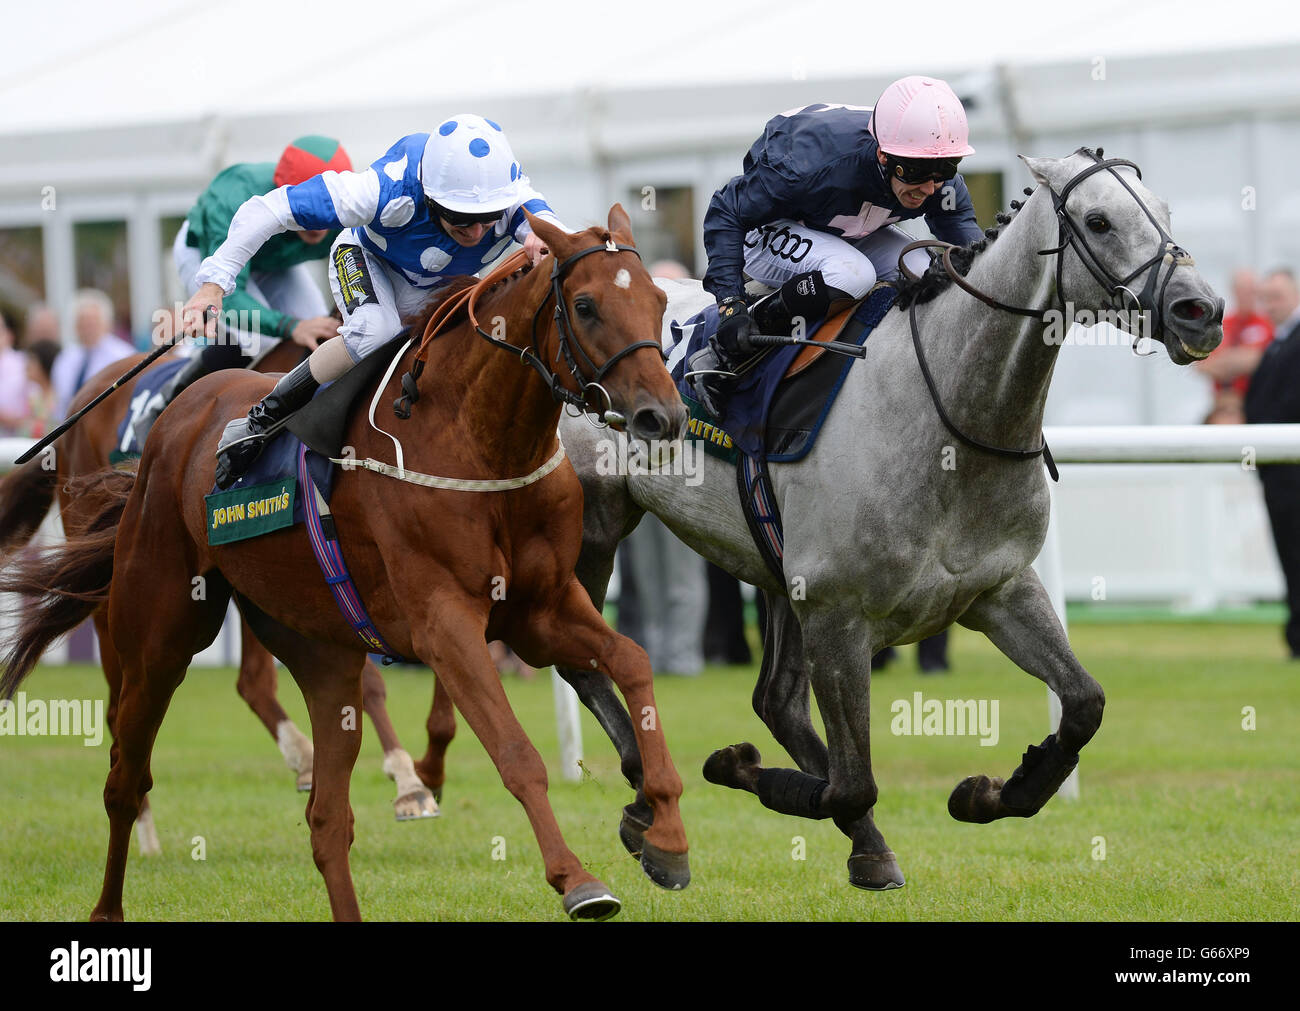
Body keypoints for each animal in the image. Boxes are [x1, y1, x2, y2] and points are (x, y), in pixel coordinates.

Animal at [0, 337, 439, 852]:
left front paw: (419, 776)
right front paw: (408, 784)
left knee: (245, 682)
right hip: (121, 590)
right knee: (122, 707)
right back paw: (145, 830)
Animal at [551, 145, 1227, 888]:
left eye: (1162, 210)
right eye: (1099, 221)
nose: (1201, 309)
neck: (950, 419)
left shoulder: (998, 588)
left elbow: (1083, 703)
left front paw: (989, 792)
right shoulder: (837, 611)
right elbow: (851, 783)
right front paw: (740, 767)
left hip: (772, 563)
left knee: (776, 701)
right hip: (593, 530)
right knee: (579, 655)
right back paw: (646, 800)